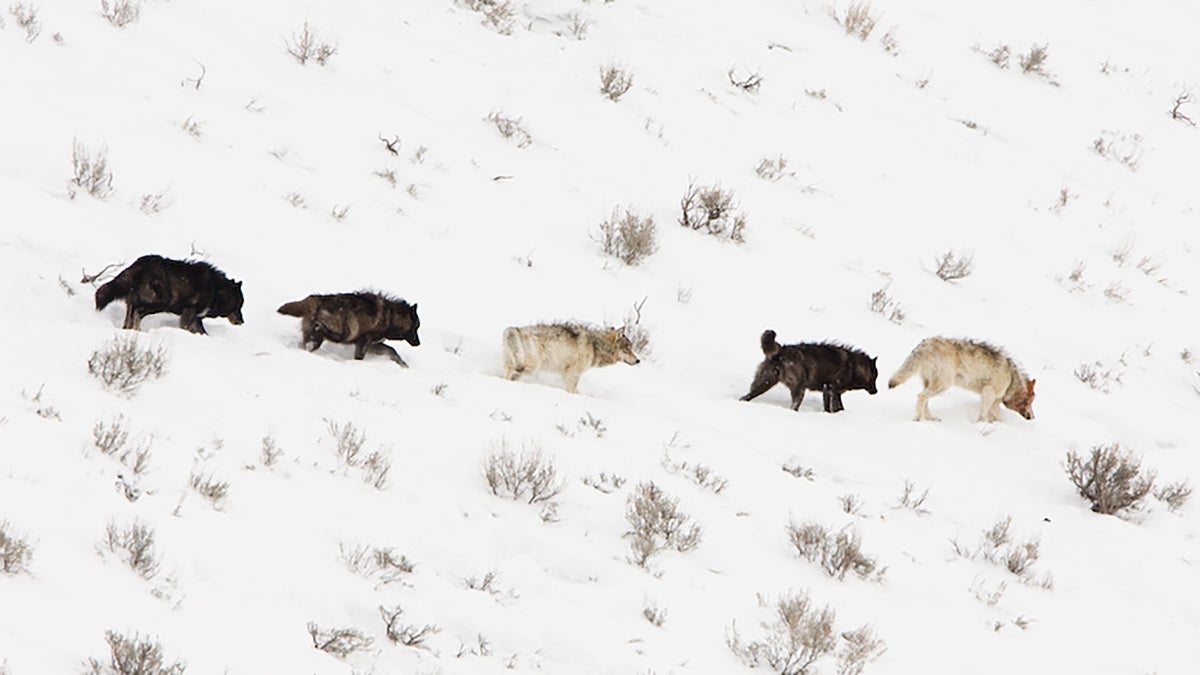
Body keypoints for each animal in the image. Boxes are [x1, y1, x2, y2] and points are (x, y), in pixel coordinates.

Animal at [94, 254, 245, 334]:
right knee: (138, 313)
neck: (216, 290)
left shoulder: (197, 318)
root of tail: (139, 265)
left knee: (130, 319)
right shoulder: (189, 313)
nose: (242, 321)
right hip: (161, 302)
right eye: (239, 306)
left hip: (136, 304)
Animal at [277, 292, 420, 366]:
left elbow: (392, 351)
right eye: (416, 327)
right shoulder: (363, 343)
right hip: (344, 333)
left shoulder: (373, 344)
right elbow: (360, 357)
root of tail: (318, 298)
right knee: (321, 334)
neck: (390, 316)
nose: (418, 343)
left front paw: (403, 365)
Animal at [502, 323, 640, 393]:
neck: (595, 346)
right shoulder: (572, 374)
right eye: (627, 349)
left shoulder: (567, 374)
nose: (638, 360)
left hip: (523, 368)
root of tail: (514, 329)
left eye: (632, 348)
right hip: (530, 367)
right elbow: (573, 391)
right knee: (509, 371)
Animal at [739, 330, 878, 413]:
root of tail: (781, 351)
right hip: (799, 389)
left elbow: (827, 408)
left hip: (764, 383)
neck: (854, 366)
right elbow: (839, 407)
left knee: (745, 397)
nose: (876, 391)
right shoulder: (834, 390)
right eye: (874, 377)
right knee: (794, 406)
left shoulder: (827, 390)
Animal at [888, 337, 1035, 422]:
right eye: (1030, 401)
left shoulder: (995, 400)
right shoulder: (988, 393)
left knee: (925, 400)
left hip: (933, 384)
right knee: (921, 396)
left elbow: (996, 417)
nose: (1033, 417)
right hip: (943, 385)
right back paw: (919, 419)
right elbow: (983, 415)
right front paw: (980, 426)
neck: (1012, 378)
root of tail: (925, 343)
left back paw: (931, 418)